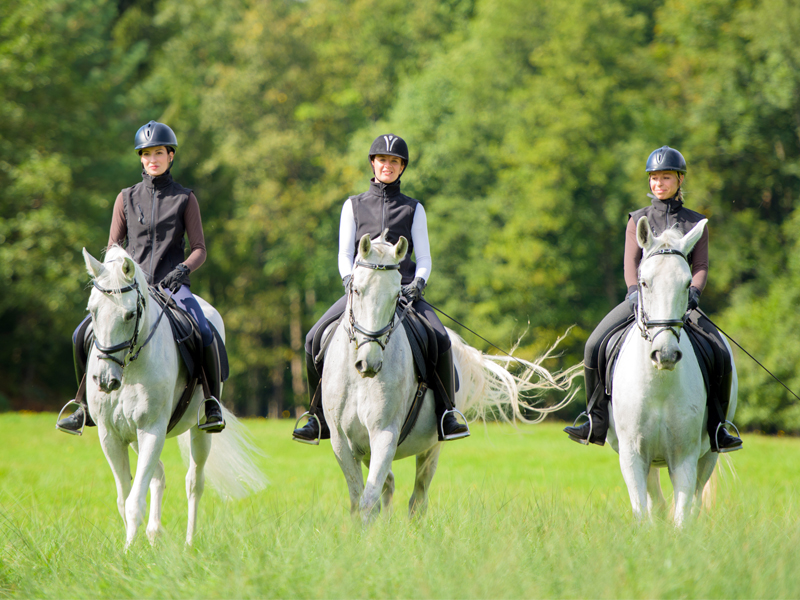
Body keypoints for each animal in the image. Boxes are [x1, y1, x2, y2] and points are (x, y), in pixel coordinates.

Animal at [80, 246, 266, 548]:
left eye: (130, 315)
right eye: (92, 311)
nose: (106, 380)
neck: (130, 368)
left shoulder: (152, 430)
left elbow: (133, 502)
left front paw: (128, 553)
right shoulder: (111, 435)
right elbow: (124, 499)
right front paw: (132, 547)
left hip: (199, 431)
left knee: (194, 483)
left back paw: (189, 543)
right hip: (133, 436)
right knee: (158, 474)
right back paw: (154, 533)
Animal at [321, 233, 581, 523]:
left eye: (397, 295)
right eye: (356, 290)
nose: (370, 362)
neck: (360, 379)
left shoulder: (384, 433)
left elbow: (368, 501)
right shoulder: (341, 442)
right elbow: (359, 500)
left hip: (431, 446)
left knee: (417, 499)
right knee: (388, 485)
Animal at [606, 217, 737, 526]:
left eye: (687, 283)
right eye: (644, 282)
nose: (664, 354)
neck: (659, 385)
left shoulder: (684, 458)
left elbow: (682, 515)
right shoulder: (632, 456)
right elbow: (643, 512)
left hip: (708, 455)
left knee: (696, 499)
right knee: (656, 500)